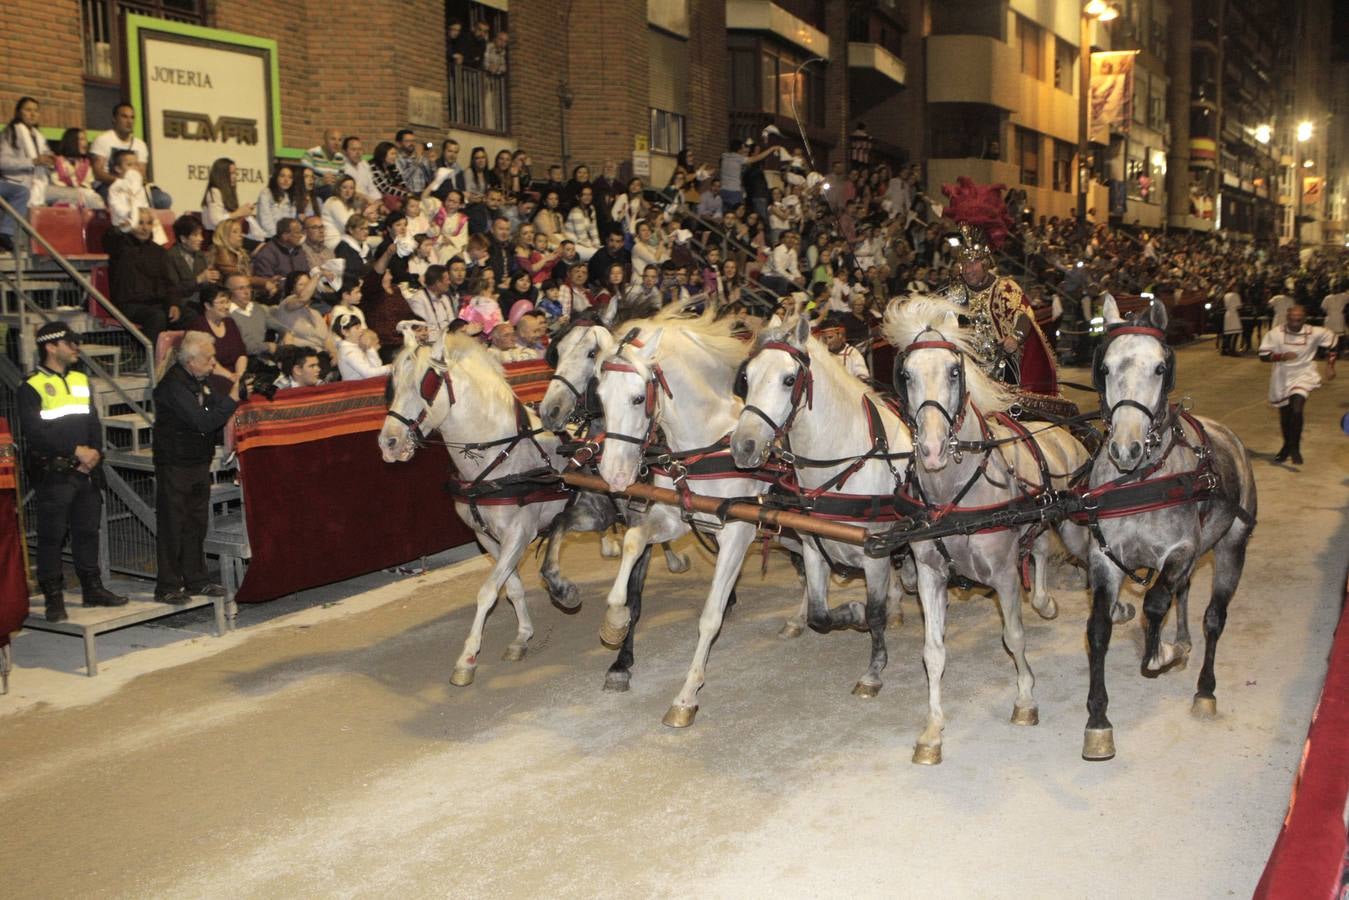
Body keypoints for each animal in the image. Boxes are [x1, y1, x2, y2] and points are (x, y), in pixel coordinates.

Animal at [377, 330, 615, 682]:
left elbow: (488, 591)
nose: (388, 442)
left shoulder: (518, 533)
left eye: (427, 384)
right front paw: (522, 637)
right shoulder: (486, 537)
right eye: (391, 385)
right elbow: (511, 587)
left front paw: (467, 658)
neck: (500, 456)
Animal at [733, 317, 911, 701]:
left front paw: (873, 671)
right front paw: (853, 612)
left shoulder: (874, 554)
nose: (743, 446)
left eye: (789, 379)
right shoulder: (814, 548)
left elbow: (874, 613)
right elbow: (820, 614)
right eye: (747, 378)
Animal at [879, 299, 1100, 766]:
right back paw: (1046, 602)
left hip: (1070, 525)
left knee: (1086, 556)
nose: (932, 449)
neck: (954, 498)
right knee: (1038, 550)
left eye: (954, 372)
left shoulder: (1002, 574)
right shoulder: (930, 575)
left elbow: (1013, 637)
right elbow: (933, 652)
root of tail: (1056, 430)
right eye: (906, 375)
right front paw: (932, 731)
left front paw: (1026, 700)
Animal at [1079, 300, 1257, 761]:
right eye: (1104, 368)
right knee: (1185, 591)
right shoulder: (1105, 558)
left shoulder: (1181, 549)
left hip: (1232, 546)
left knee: (1213, 616)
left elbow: (1155, 603)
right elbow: (1098, 628)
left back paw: (1204, 688)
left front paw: (1160, 654)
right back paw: (1183, 640)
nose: (1125, 448)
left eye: (1160, 367)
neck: (1140, 482)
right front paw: (1098, 720)